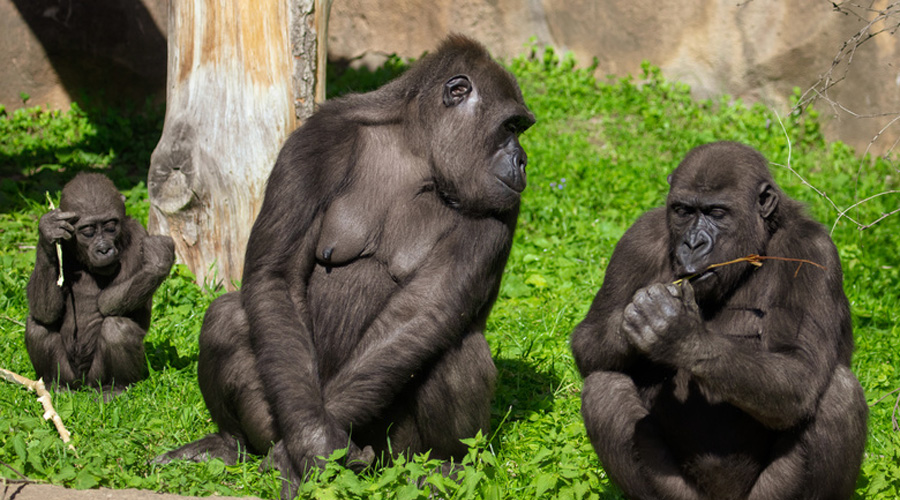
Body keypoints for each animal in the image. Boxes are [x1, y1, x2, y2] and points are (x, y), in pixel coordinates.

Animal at [25, 174, 178, 392]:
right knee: (38, 324)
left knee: (117, 328)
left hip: (96, 378)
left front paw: (158, 261)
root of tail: (82, 385)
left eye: (110, 226)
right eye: (88, 231)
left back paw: (117, 388)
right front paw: (48, 231)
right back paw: (54, 383)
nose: (104, 249)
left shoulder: (138, 234)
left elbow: (109, 302)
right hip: (70, 376)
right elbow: (45, 311)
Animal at [156, 36, 536, 496]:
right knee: (228, 318)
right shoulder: (318, 139)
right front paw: (313, 440)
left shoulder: (499, 201)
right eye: (510, 127)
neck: (417, 147)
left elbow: (426, 309)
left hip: (392, 454)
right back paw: (232, 442)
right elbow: (276, 276)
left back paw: (443, 467)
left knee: (456, 351)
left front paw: (312, 448)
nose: (522, 160)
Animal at [572, 142, 868, 500]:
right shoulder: (637, 240)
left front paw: (679, 334)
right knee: (604, 388)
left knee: (838, 396)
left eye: (716, 213)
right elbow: (587, 342)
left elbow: (801, 370)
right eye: (683, 211)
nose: (693, 243)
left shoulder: (813, 252)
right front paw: (635, 319)